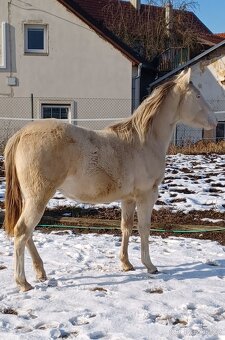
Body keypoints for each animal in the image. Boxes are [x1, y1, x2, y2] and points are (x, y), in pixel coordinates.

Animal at [3, 67, 218, 290]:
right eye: (198, 95)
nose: (214, 121)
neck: (144, 142)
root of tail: (21, 134)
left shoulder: (128, 199)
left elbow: (126, 227)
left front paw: (126, 264)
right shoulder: (146, 196)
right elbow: (144, 228)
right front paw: (149, 266)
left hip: (31, 199)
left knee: (27, 234)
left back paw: (40, 272)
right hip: (38, 198)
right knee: (22, 231)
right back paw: (23, 282)